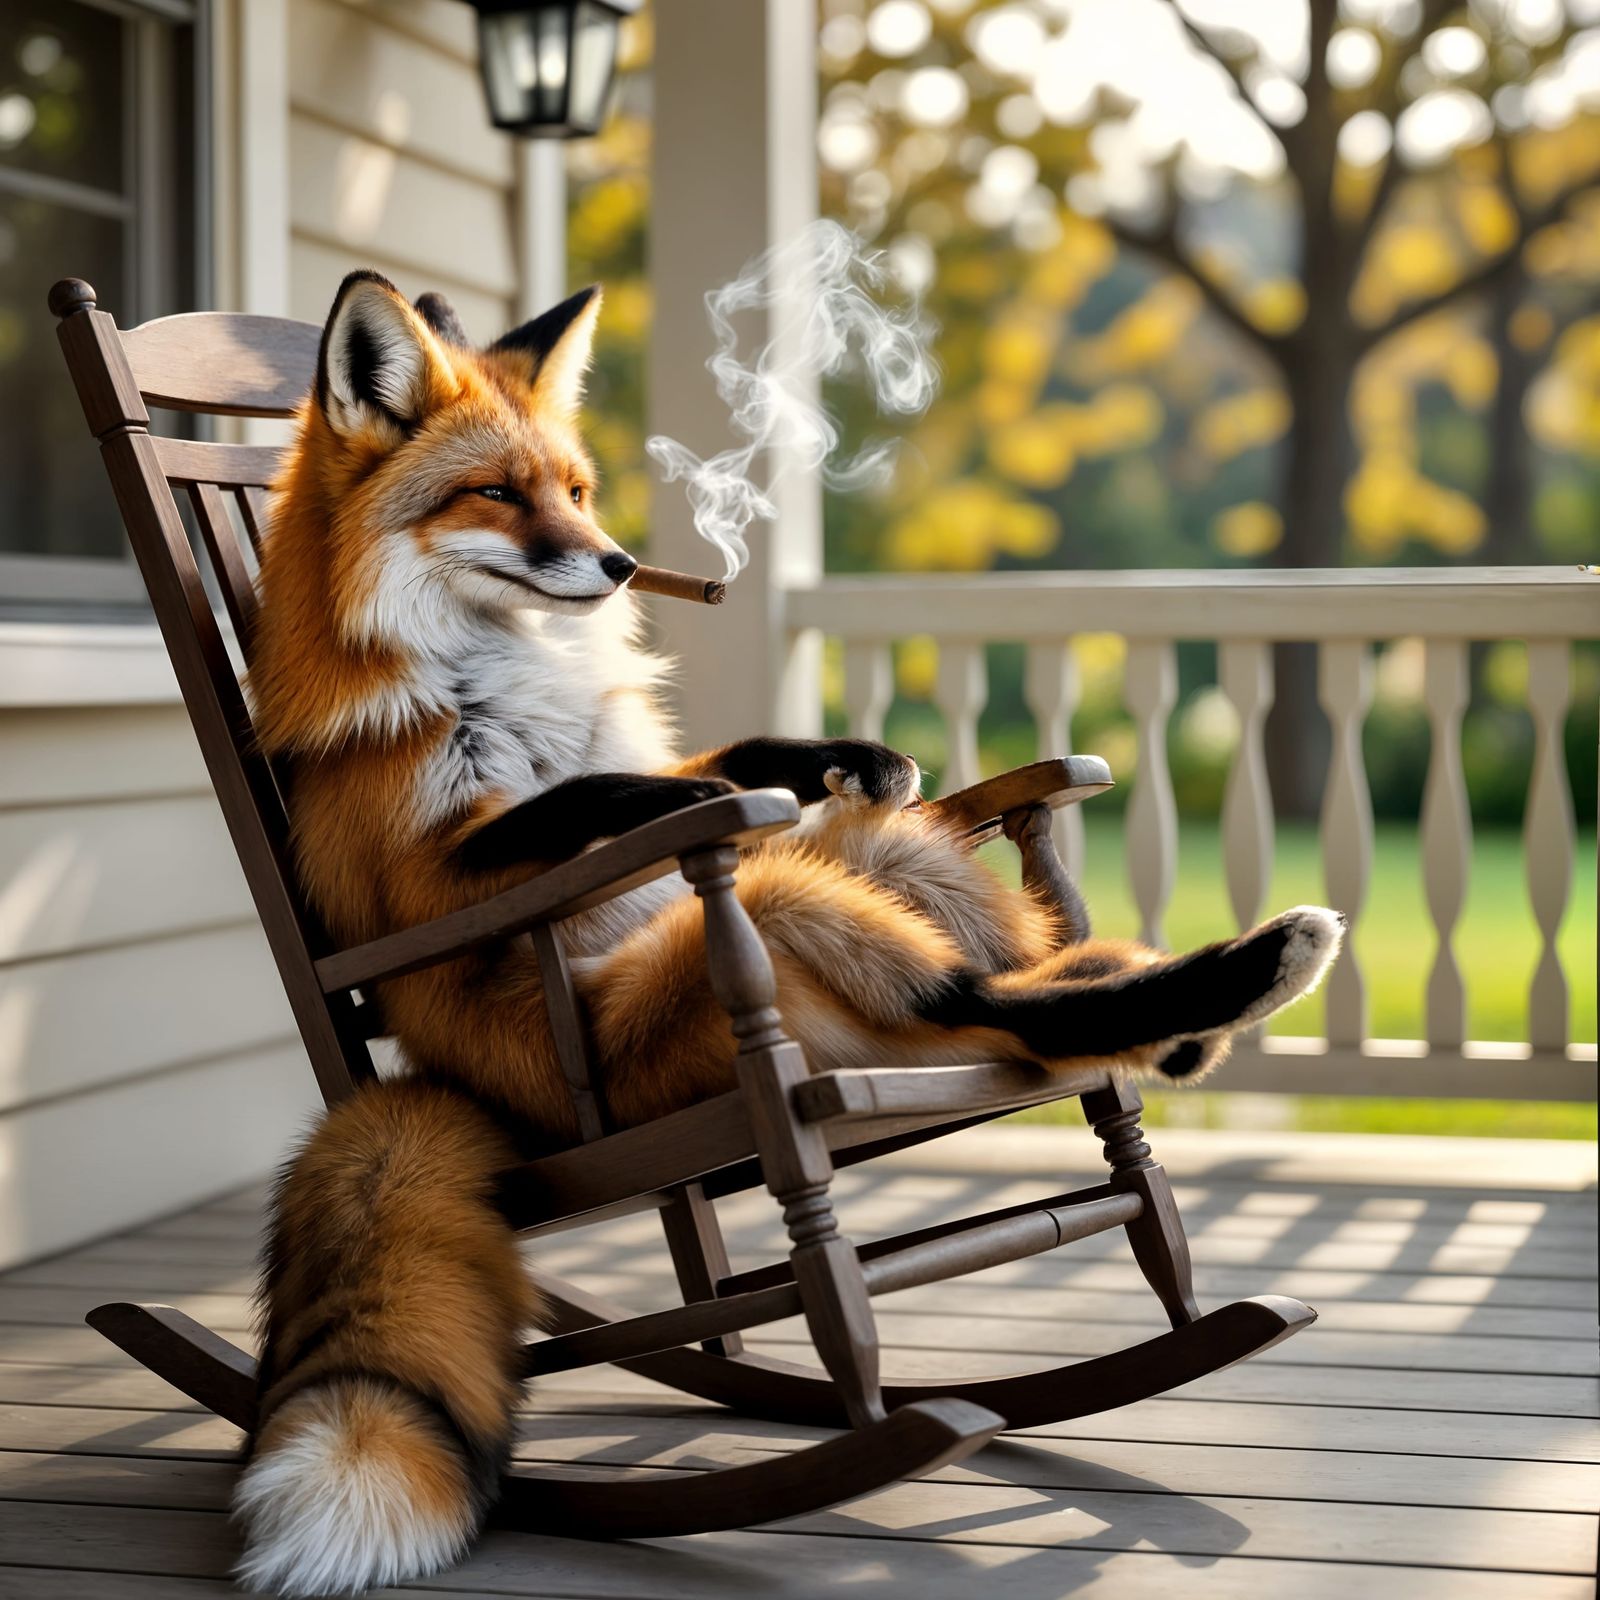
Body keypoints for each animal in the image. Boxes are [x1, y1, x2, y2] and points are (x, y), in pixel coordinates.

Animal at [233, 268, 1344, 1595]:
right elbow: (613, 797)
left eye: (576, 490)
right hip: (764, 924)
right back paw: (1243, 973)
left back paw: (1172, 1022)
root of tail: (459, 1098)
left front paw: (836, 754)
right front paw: (705, 800)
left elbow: (721, 758)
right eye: (496, 492)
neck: (496, 676)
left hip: (880, 863)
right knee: (980, 1006)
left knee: (1007, 998)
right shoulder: (418, 886)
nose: (618, 564)